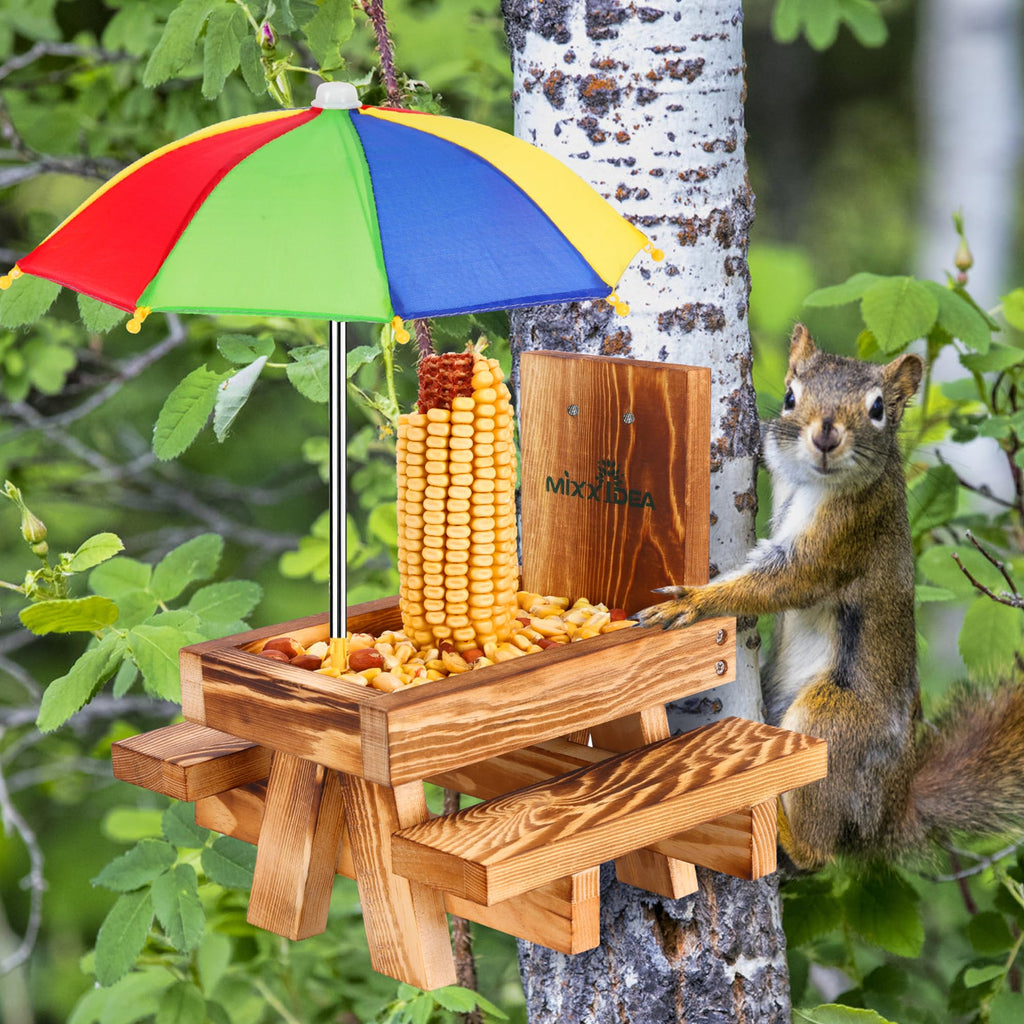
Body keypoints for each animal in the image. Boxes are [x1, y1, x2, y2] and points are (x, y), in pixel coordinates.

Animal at [638, 324, 1024, 870]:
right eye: (790, 396)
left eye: (878, 408)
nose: (825, 435)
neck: (811, 480)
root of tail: (887, 816)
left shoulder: (847, 531)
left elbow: (788, 580)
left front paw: (692, 603)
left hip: (834, 719)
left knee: (819, 853)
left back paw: (785, 828)